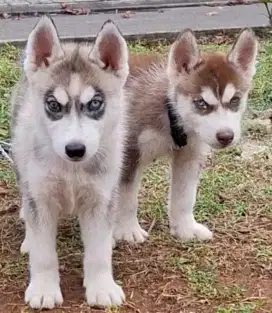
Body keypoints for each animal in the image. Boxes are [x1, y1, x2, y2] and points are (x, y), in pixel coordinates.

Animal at [11, 14, 129, 308]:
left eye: (95, 103)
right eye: (54, 105)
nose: (75, 149)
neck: (72, 171)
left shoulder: (100, 198)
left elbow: (98, 252)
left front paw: (102, 287)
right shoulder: (41, 199)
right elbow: (43, 253)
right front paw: (44, 288)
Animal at [113, 29, 258, 244]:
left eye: (235, 100)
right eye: (201, 103)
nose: (226, 136)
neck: (171, 114)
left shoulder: (190, 155)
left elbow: (185, 196)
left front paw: (186, 228)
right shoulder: (129, 153)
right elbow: (127, 196)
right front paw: (127, 229)